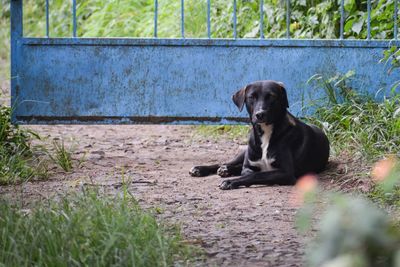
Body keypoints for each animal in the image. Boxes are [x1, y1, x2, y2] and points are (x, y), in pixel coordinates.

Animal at [189, 80, 330, 191]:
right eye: (251, 97)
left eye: (271, 96)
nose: (260, 114)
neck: (266, 133)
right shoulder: (248, 165)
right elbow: (247, 172)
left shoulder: (286, 173)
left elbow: (255, 175)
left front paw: (231, 181)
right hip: (244, 151)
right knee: (225, 162)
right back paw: (203, 169)